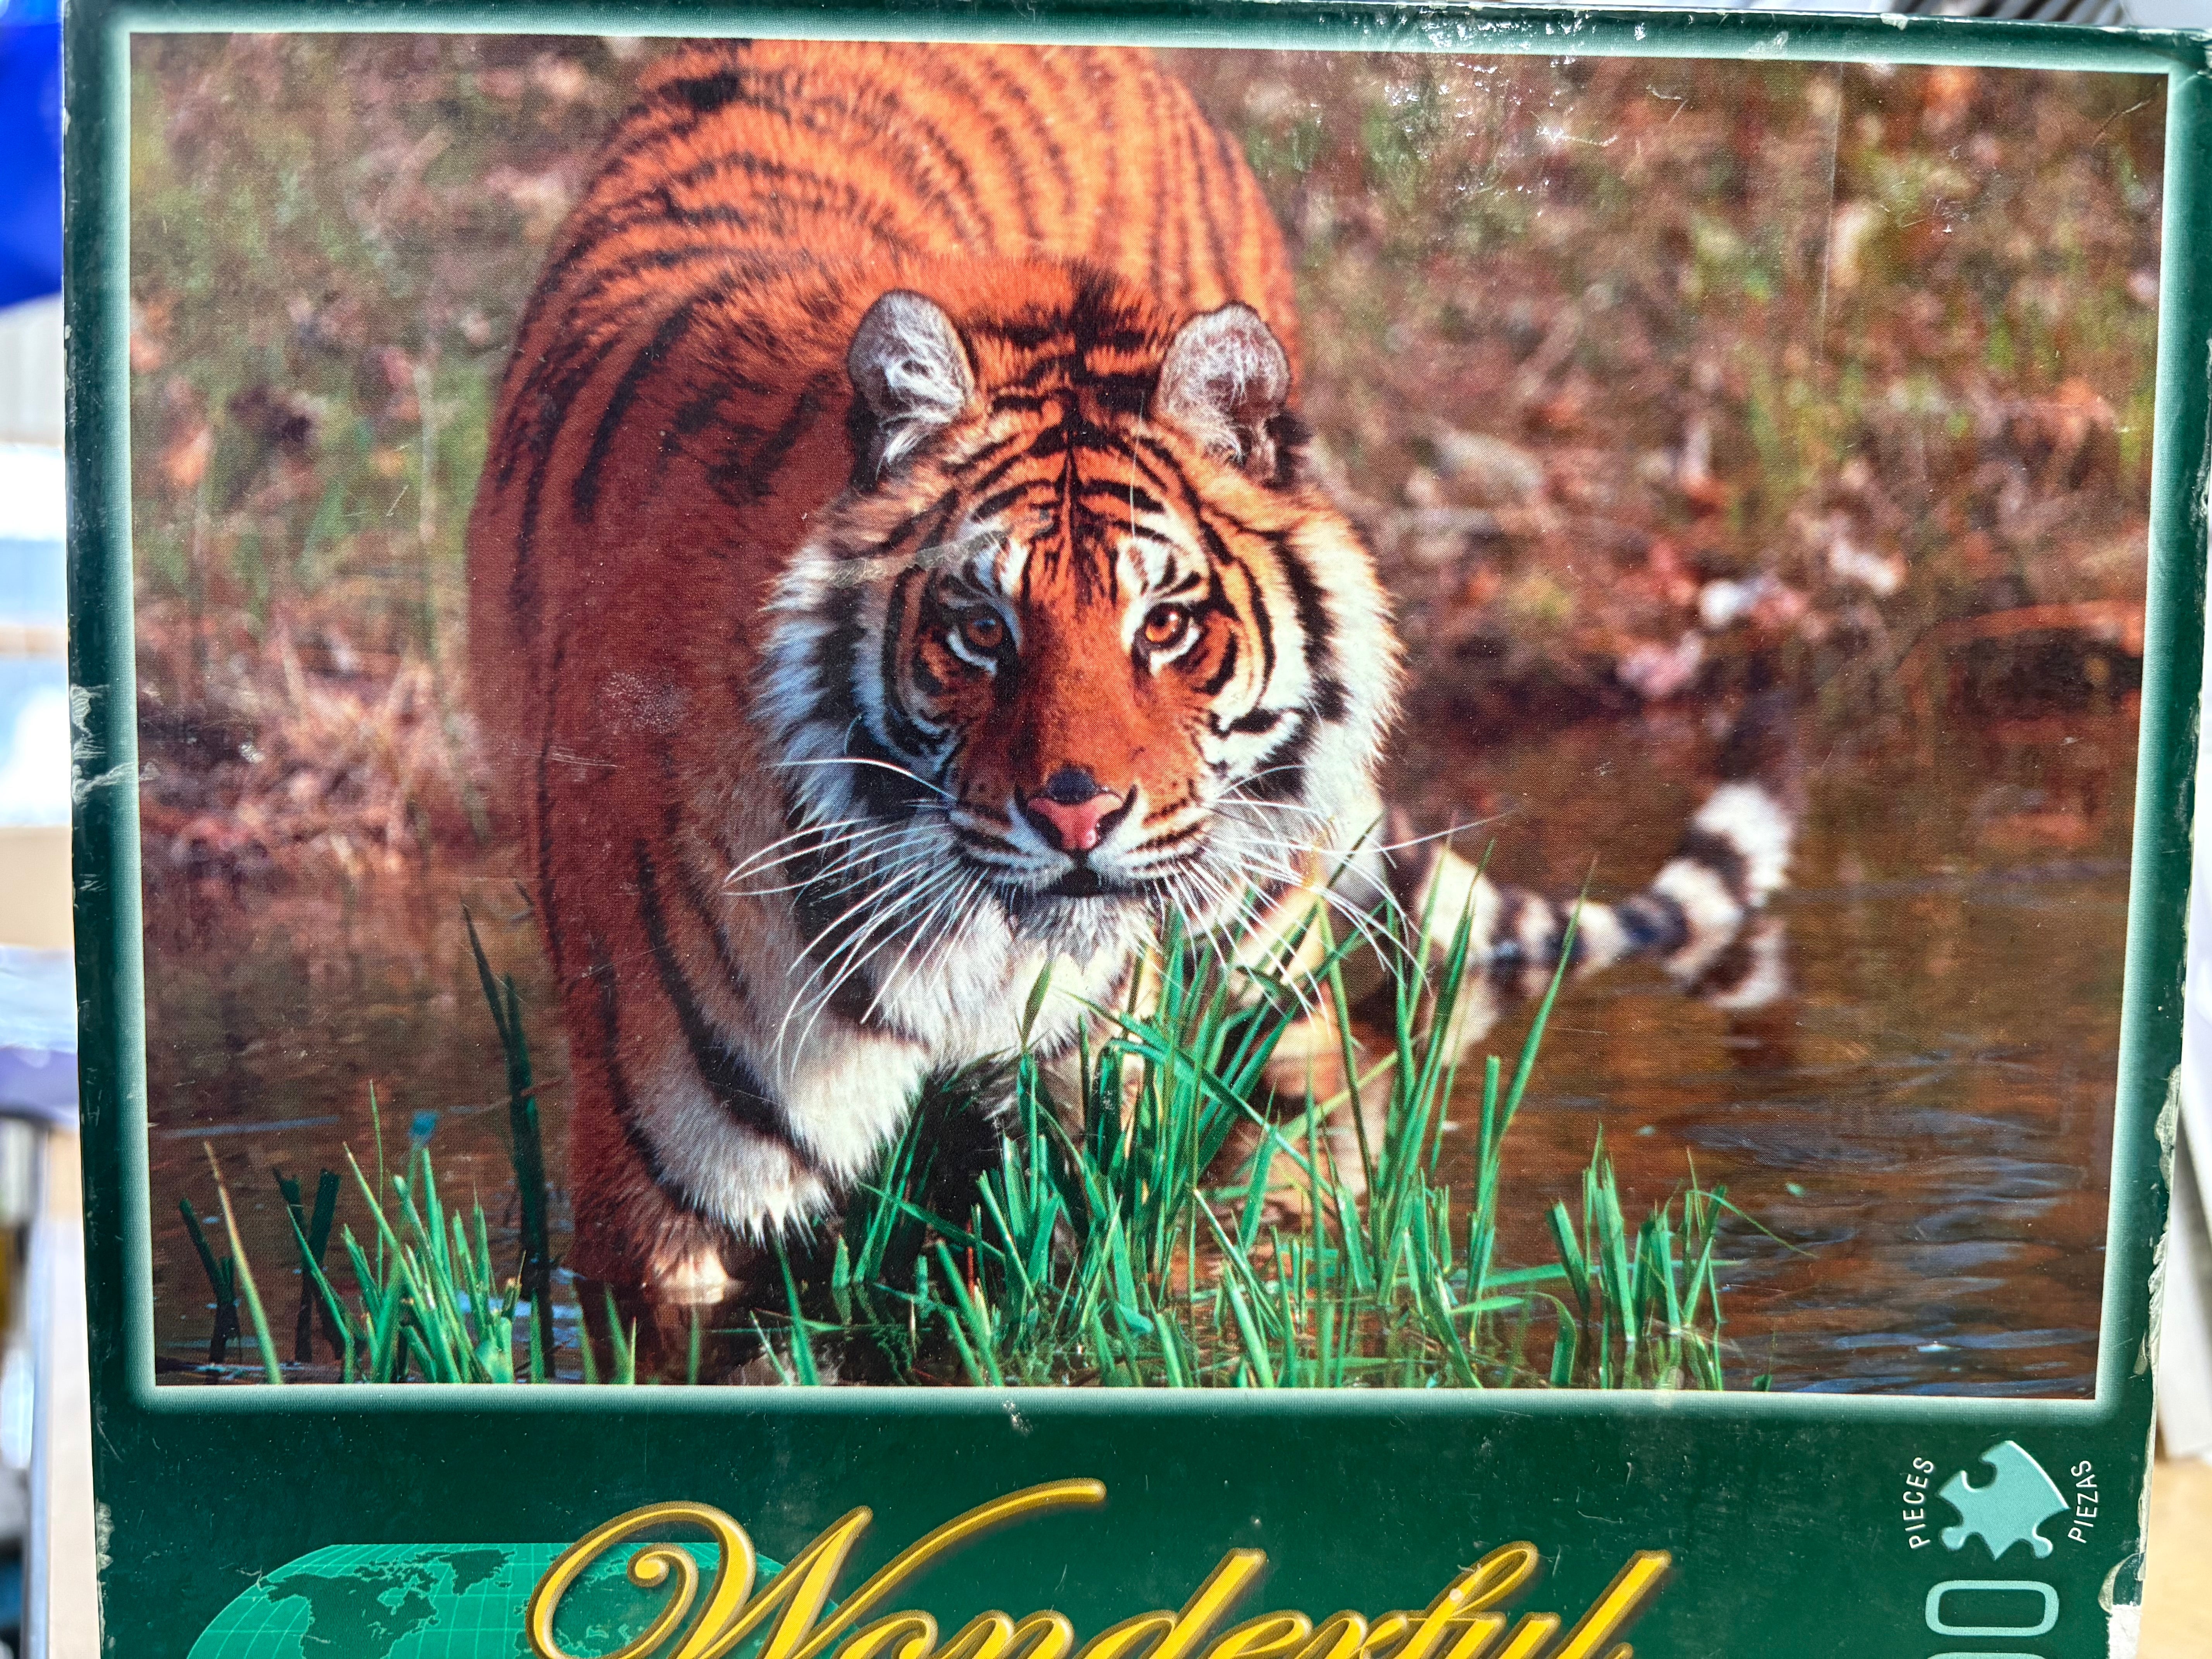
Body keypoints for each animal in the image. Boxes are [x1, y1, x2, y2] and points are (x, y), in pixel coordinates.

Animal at [466, 39, 1796, 1307]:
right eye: (980, 628)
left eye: (1163, 625)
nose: (1076, 815)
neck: (959, 955)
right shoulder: (658, 1199)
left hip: (1267, 927)